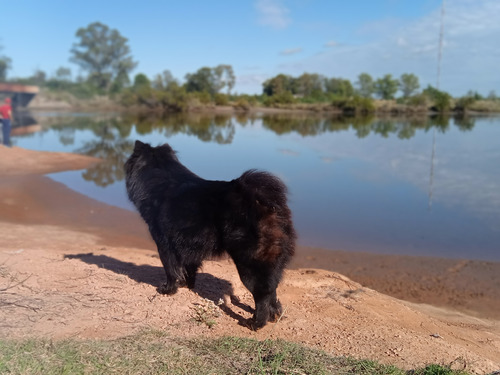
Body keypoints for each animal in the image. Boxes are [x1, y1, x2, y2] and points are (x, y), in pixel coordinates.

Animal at [125, 141, 294, 328]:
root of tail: (264, 204)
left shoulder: (164, 244)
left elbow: (170, 269)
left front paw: (168, 290)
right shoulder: (188, 246)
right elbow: (188, 269)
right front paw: (186, 284)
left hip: (250, 264)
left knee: (262, 295)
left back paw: (255, 322)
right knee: (272, 291)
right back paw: (274, 315)